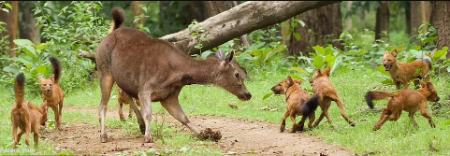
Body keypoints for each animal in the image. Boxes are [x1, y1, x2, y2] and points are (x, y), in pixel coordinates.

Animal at [95, 7, 251, 143]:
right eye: (237, 74)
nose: (248, 94)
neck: (178, 74)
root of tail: (109, 34)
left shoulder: (168, 96)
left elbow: (183, 117)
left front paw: (206, 134)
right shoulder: (146, 87)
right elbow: (149, 113)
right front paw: (148, 137)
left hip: (124, 78)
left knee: (125, 96)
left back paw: (140, 125)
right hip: (104, 70)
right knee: (103, 104)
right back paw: (104, 135)